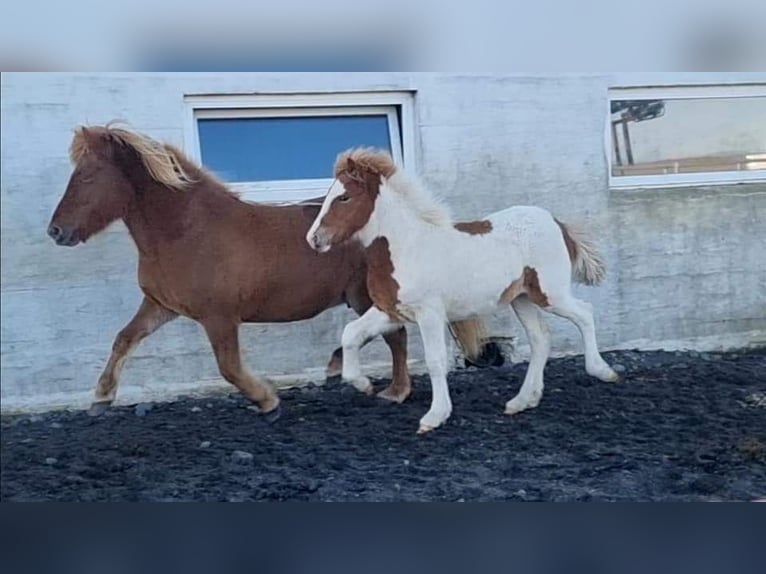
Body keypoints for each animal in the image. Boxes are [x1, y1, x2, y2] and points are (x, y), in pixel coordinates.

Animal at [48, 127, 486, 424]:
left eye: (86, 175)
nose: (55, 231)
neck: (186, 230)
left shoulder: (219, 316)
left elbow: (228, 366)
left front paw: (267, 399)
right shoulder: (160, 305)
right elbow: (124, 339)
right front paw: (101, 397)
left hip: (368, 295)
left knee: (395, 336)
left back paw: (393, 391)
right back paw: (345, 371)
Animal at [308, 151, 620, 434]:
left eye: (344, 197)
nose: (314, 239)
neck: (407, 247)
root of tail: (557, 223)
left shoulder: (430, 314)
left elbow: (436, 361)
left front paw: (435, 416)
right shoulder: (391, 310)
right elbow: (351, 333)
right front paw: (363, 384)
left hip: (551, 293)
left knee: (584, 313)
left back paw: (602, 371)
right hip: (521, 299)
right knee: (540, 339)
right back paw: (522, 401)